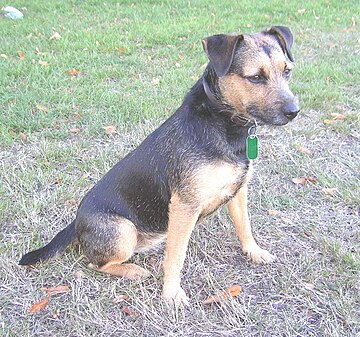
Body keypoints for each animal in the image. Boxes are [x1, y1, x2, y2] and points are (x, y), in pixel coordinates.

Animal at [20, 25, 300, 306]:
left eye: (287, 71)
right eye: (255, 77)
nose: (294, 111)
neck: (221, 120)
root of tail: (75, 223)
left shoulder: (238, 191)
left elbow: (244, 226)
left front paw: (254, 251)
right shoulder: (184, 206)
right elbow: (175, 257)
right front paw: (172, 293)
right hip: (123, 231)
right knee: (95, 264)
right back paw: (132, 270)